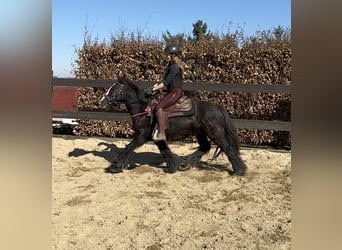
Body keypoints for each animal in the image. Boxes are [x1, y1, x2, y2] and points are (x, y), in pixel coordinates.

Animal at [99, 78, 246, 176]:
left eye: (114, 89)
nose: (101, 102)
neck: (144, 109)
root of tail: (218, 108)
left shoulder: (141, 136)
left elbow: (127, 148)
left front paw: (115, 167)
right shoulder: (156, 137)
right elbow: (165, 151)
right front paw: (173, 166)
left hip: (216, 133)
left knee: (228, 148)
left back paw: (239, 170)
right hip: (201, 133)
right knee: (205, 147)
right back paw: (185, 163)